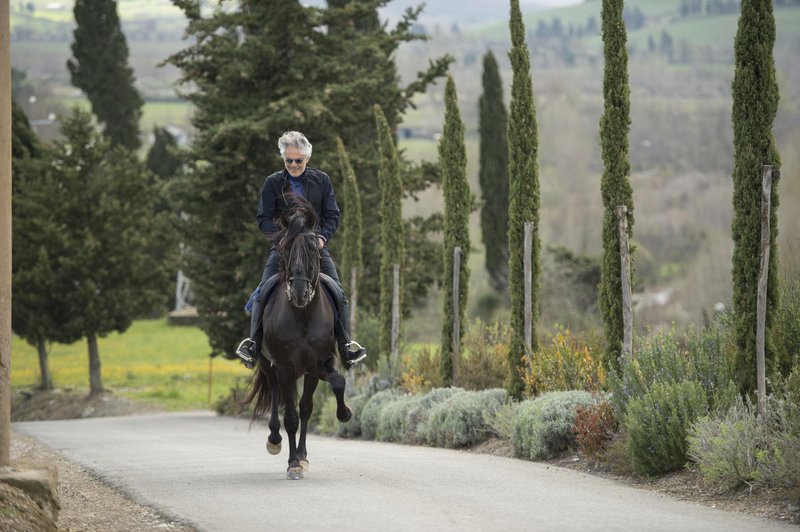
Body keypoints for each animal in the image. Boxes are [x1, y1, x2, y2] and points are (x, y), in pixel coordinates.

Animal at [242, 196, 352, 482]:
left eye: (314, 249)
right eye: (288, 248)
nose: (300, 292)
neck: (303, 315)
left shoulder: (319, 364)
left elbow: (325, 393)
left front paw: (344, 414)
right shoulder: (284, 367)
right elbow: (290, 415)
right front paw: (292, 464)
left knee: (300, 405)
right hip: (269, 366)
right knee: (275, 396)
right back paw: (274, 440)